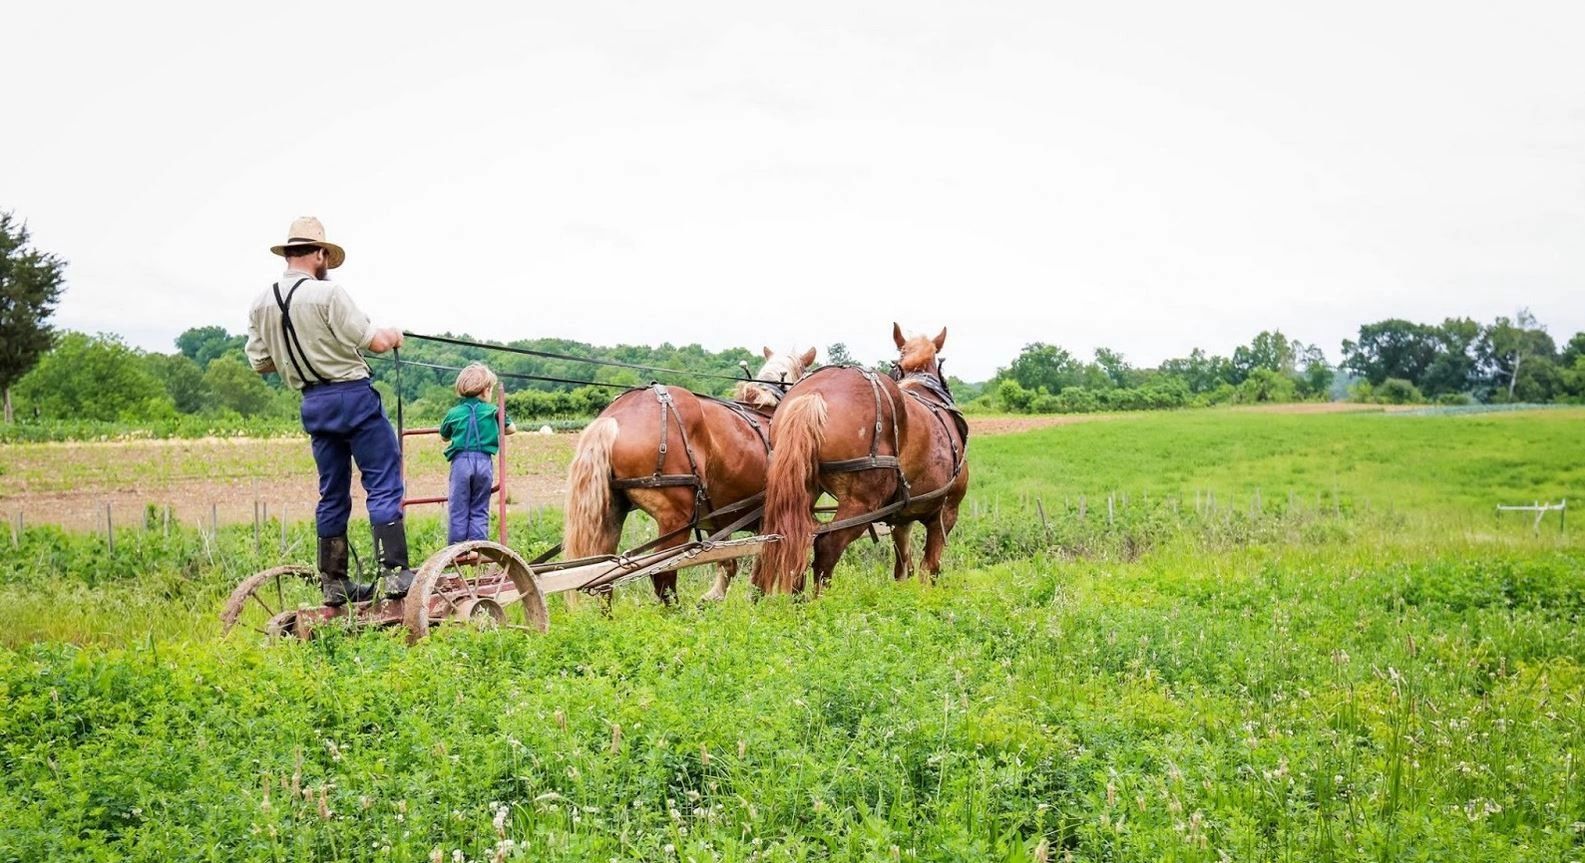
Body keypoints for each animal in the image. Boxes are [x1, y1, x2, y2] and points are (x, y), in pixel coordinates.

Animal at [564, 347, 817, 602]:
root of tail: (613, 419)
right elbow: (781, 558)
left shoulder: (718, 521)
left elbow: (729, 562)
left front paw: (713, 598)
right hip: (675, 518)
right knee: (662, 575)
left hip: (613, 512)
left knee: (603, 579)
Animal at [754, 323, 963, 593]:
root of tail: (814, 395)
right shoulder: (946, 511)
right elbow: (930, 569)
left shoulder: (901, 518)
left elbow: (903, 567)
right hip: (861, 502)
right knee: (826, 548)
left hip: (801, 489)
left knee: (796, 540)